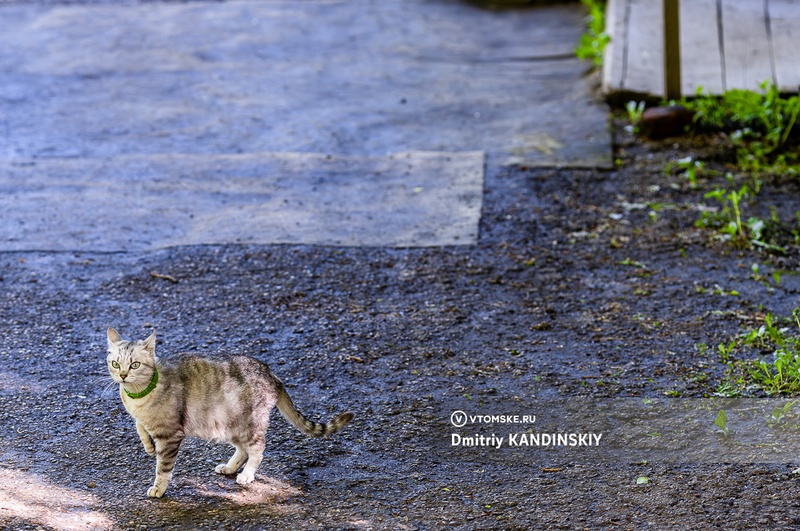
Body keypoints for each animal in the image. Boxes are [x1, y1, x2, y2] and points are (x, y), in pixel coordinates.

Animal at [105, 328, 354, 498]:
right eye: (116, 364)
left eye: (135, 365)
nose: (123, 376)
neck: (136, 395)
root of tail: (270, 372)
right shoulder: (145, 420)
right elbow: (139, 425)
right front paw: (147, 444)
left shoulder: (171, 435)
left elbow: (163, 468)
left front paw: (159, 487)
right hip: (229, 424)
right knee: (242, 450)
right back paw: (230, 467)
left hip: (249, 424)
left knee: (258, 449)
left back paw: (246, 474)